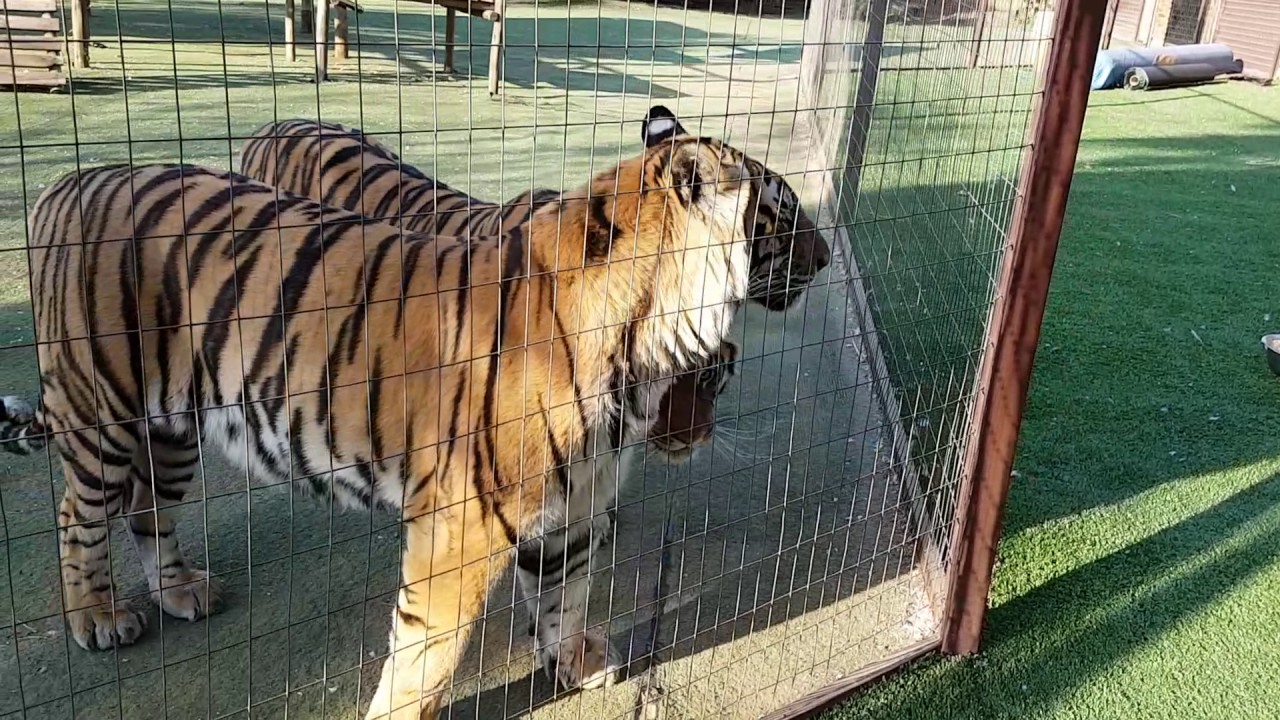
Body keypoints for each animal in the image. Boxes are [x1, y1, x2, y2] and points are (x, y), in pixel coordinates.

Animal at [1, 136, 779, 719]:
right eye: (776, 213)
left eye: (716, 378)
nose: (692, 439)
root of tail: (65, 183)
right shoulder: (461, 527)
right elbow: (425, 655)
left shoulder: (573, 505)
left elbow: (564, 589)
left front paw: (572, 660)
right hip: (100, 407)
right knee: (78, 514)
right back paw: (97, 616)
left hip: (171, 425)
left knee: (149, 508)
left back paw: (180, 590)